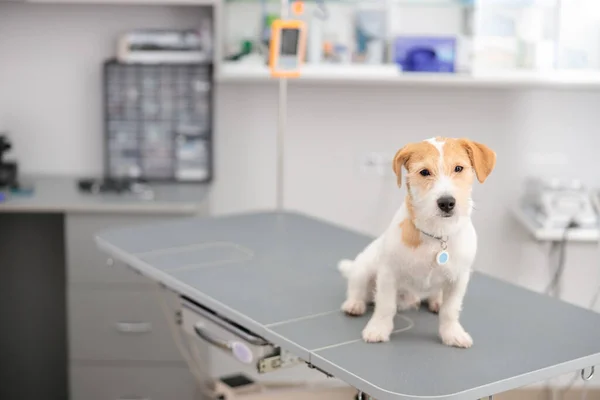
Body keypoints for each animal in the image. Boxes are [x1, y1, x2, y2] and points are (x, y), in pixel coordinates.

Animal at [340, 137, 494, 346]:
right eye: (424, 172)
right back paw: (354, 304)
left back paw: (436, 301)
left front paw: (452, 333)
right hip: (364, 267)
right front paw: (378, 329)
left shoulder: (459, 278)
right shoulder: (388, 273)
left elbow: (450, 310)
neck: (437, 234)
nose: (446, 203)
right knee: (357, 286)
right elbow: (385, 305)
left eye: (459, 168)